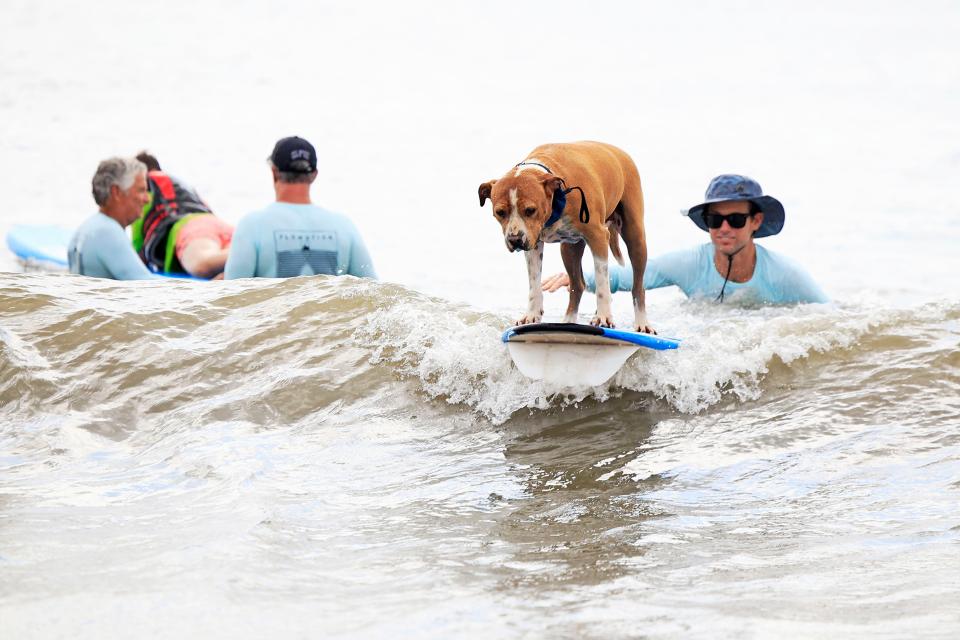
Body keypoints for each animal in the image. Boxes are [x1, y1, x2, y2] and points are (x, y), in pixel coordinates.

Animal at [478, 142, 652, 332]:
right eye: (500, 212)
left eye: (530, 210)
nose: (514, 240)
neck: (557, 198)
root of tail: (618, 151)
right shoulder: (533, 243)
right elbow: (534, 282)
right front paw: (532, 314)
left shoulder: (598, 237)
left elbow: (602, 282)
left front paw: (604, 317)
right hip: (569, 249)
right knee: (578, 285)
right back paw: (568, 321)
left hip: (635, 237)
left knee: (638, 287)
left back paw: (642, 323)